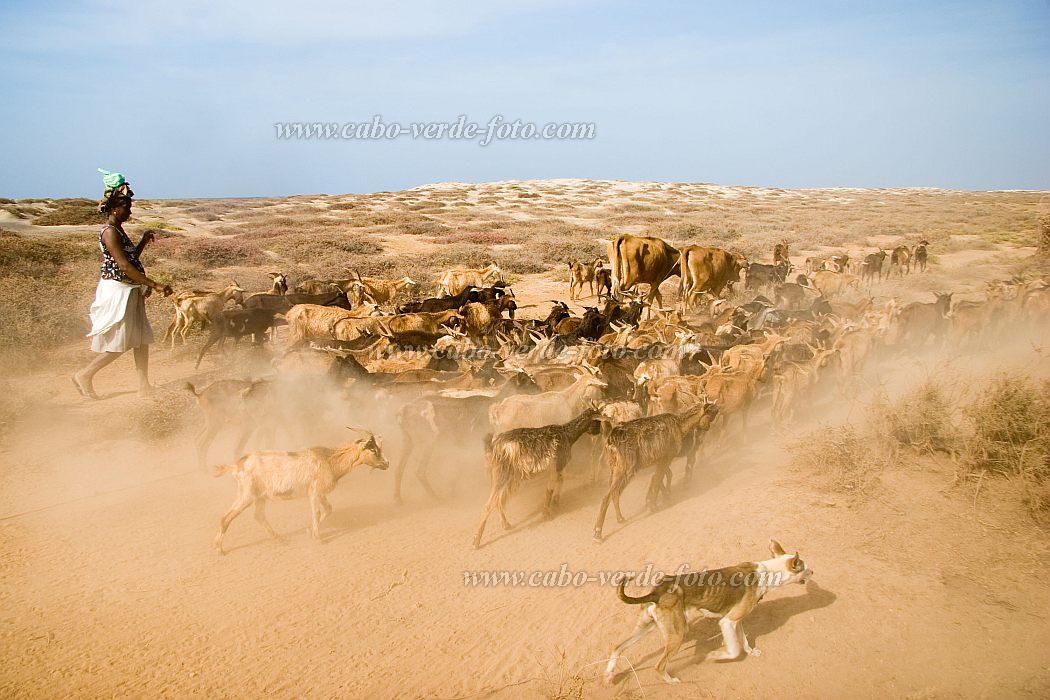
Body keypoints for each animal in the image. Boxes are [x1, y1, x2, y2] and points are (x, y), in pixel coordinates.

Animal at [213, 430, 390, 554]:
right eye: (373, 450)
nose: (387, 463)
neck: (329, 460)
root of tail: (237, 466)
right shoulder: (314, 491)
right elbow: (317, 513)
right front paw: (318, 539)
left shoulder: (321, 493)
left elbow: (328, 510)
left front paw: (309, 532)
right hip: (246, 495)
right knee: (225, 518)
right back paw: (220, 549)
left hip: (260, 497)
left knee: (259, 515)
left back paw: (279, 538)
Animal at [474, 407, 604, 549]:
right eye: (597, 421)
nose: (598, 432)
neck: (567, 434)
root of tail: (495, 445)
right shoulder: (555, 466)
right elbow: (550, 489)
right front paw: (547, 512)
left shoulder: (557, 468)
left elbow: (560, 481)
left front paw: (555, 504)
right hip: (502, 475)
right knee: (489, 504)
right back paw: (476, 541)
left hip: (509, 478)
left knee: (499, 500)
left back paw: (505, 524)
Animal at [592, 398, 722, 541]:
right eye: (710, 413)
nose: (708, 427)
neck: (680, 425)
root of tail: (611, 439)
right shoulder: (667, 457)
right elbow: (658, 478)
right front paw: (654, 505)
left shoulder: (660, 460)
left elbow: (657, 478)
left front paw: (654, 500)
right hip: (625, 469)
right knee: (607, 496)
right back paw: (597, 533)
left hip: (615, 468)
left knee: (615, 493)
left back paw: (620, 518)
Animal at [604, 541, 814, 684]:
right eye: (806, 567)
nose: (813, 572)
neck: (768, 572)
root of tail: (657, 591)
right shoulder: (727, 622)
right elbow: (734, 651)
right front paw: (715, 656)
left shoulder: (736, 621)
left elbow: (744, 643)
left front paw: (751, 652)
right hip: (678, 635)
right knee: (658, 666)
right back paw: (671, 681)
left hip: (646, 628)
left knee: (617, 647)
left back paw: (609, 674)